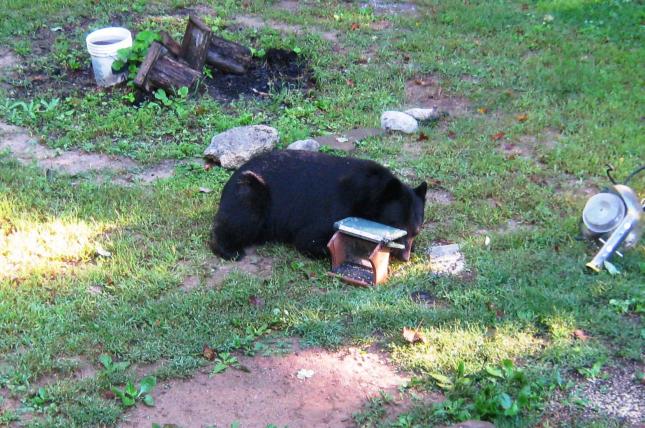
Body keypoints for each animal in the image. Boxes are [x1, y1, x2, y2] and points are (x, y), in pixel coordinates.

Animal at [208, 150, 427, 261]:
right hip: (251, 191)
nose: (404, 257)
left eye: (415, 231)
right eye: (399, 230)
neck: (369, 193)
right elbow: (309, 238)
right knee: (241, 219)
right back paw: (230, 250)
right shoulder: (336, 205)